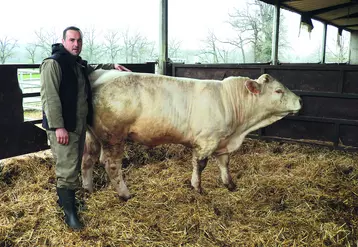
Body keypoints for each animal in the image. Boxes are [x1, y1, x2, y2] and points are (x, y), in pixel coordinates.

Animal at [82, 68, 302, 200]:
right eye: (278, 91)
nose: (300, 100)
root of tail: (101, 76)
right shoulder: (206, 141)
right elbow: (200, 164)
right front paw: (197, 187)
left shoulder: (222, 141)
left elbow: (225, 163)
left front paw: (230, 184)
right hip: (114, 137)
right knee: (111, 165)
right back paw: (125, 194)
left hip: (92, 137)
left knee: (88, 160)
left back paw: (88, 189)